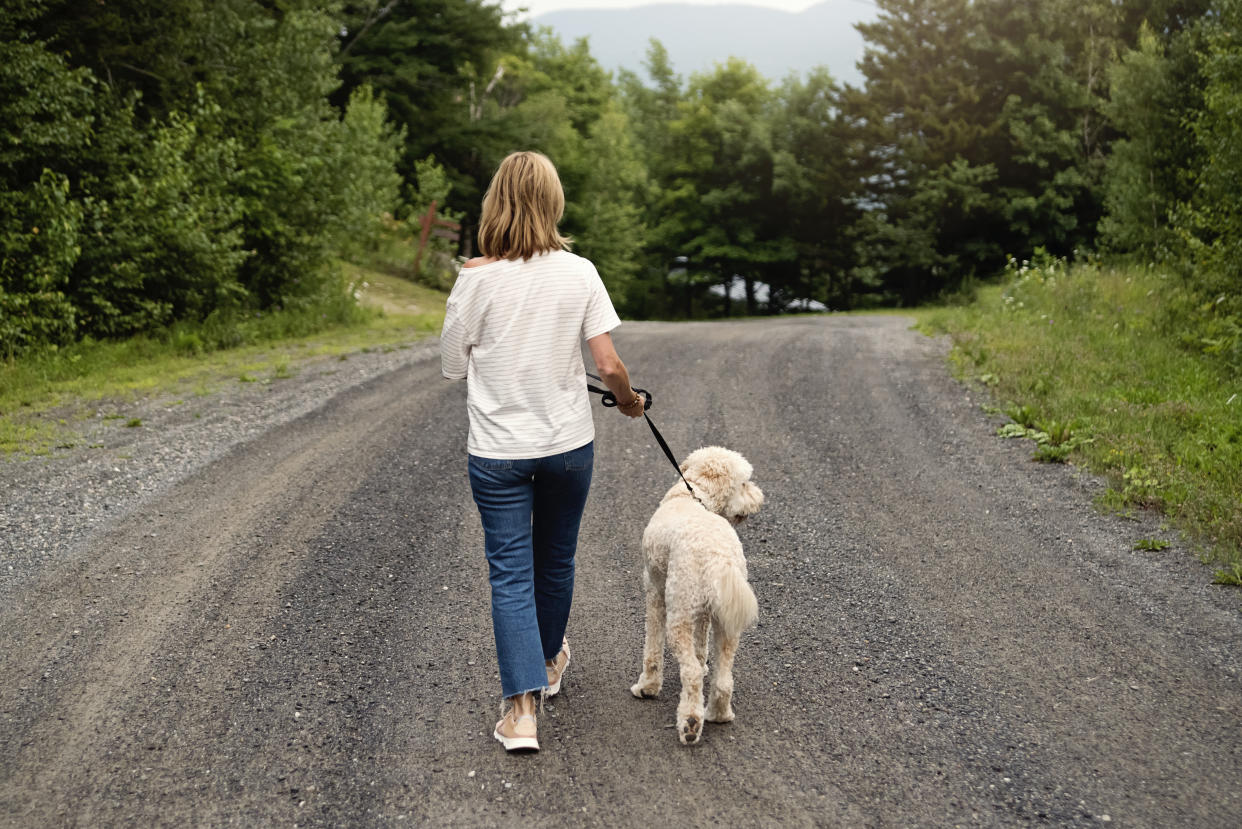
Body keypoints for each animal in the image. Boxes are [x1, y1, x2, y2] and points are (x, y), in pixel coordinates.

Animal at [630, 447, 765, 745]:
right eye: (744, 484)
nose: (759, 498)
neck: (694, 494)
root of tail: (718, 556)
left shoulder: (655, 592)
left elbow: (652, 649)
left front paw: (647, 687)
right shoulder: (704, 612)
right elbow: (701, 647)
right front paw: (704, 664)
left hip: (679, 615)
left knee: (689, 673)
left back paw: (690, 723)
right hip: (726, 621)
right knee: (724, 679)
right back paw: (718, 714)